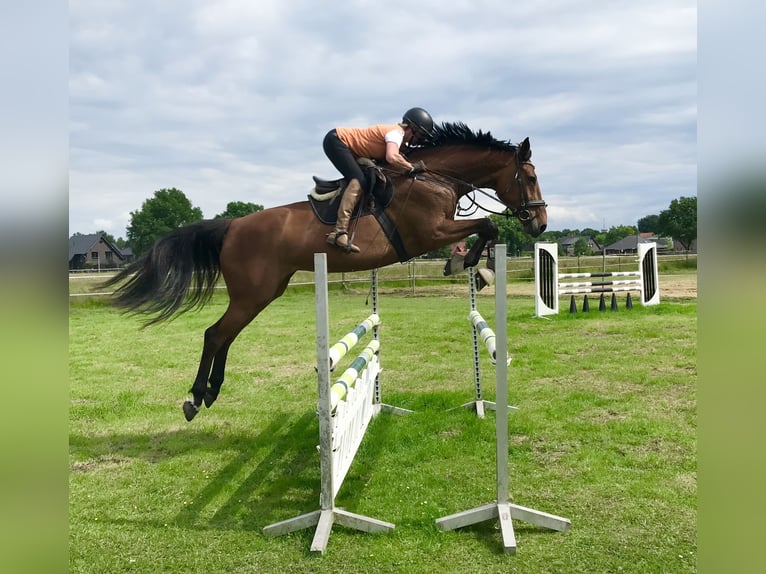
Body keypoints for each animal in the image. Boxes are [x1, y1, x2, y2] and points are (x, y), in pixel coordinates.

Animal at [102, 121, 548, 420]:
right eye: (529, 176)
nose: (540, 224)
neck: (433, 176)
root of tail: (231, 226)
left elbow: (484, 228)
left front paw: (474, 267)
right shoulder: (429, 232)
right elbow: (486, 226)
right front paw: (473, 265)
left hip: (263, 293)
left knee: (226, 335)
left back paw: (211, 392)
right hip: (253, 293)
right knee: (215, 334)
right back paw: (195, 398)